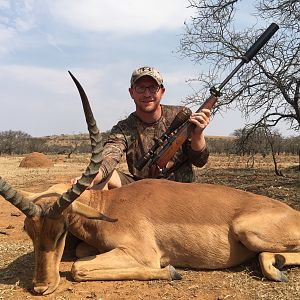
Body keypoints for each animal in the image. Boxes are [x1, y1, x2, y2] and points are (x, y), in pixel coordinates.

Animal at [0, 73, 300, 296]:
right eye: (29, 230)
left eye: (62, 229)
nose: (41, 287)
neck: (111, 206)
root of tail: (292, 212)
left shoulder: (142, 253)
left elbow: (78, 268)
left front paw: (171, 271)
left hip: (247, 230)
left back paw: (275, 267)